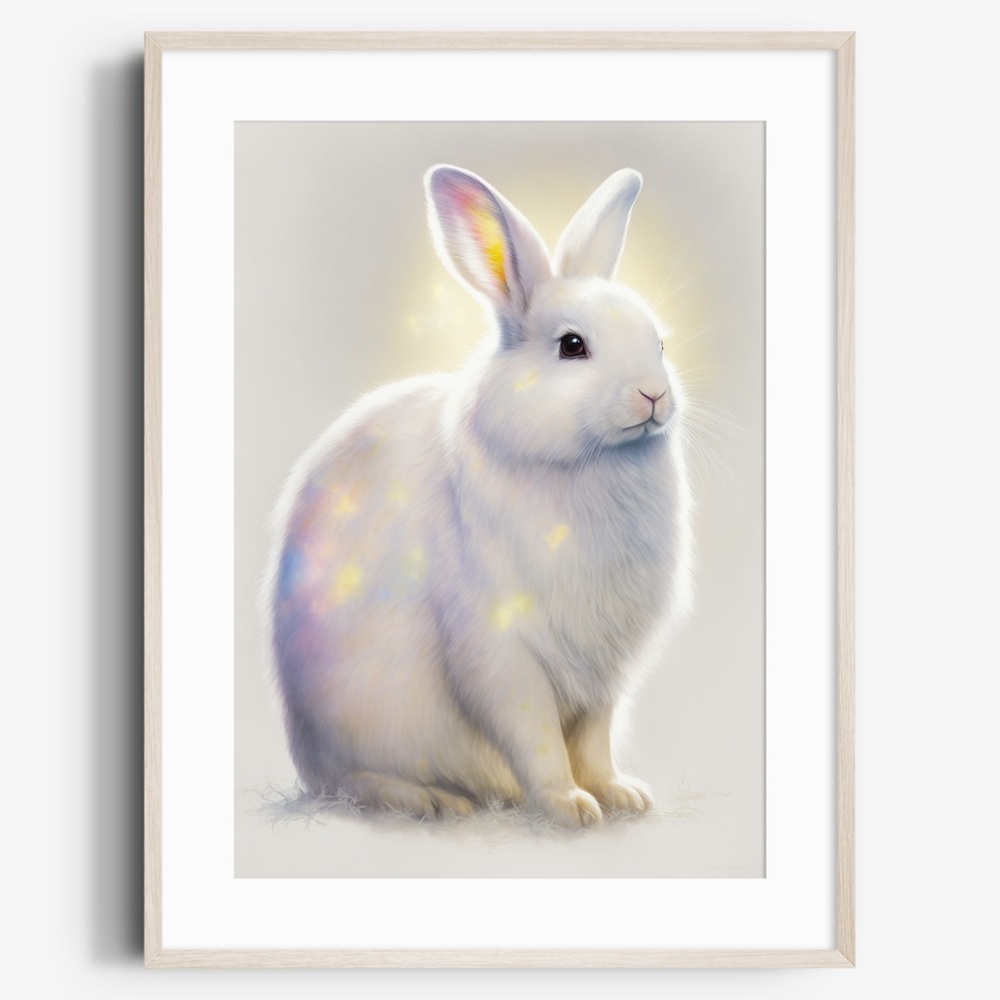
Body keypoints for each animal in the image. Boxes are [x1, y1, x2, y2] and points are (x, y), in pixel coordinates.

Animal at [264, 164, 692, 828]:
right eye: (572, 345)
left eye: (661, 344)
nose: (654, 395)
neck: (586, 462)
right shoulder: (499, 649)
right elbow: (535, 733)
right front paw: (569, 807)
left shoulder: (603, 670)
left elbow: (594, 739)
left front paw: (620, 796)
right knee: (349, 781)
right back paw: (431, 801)